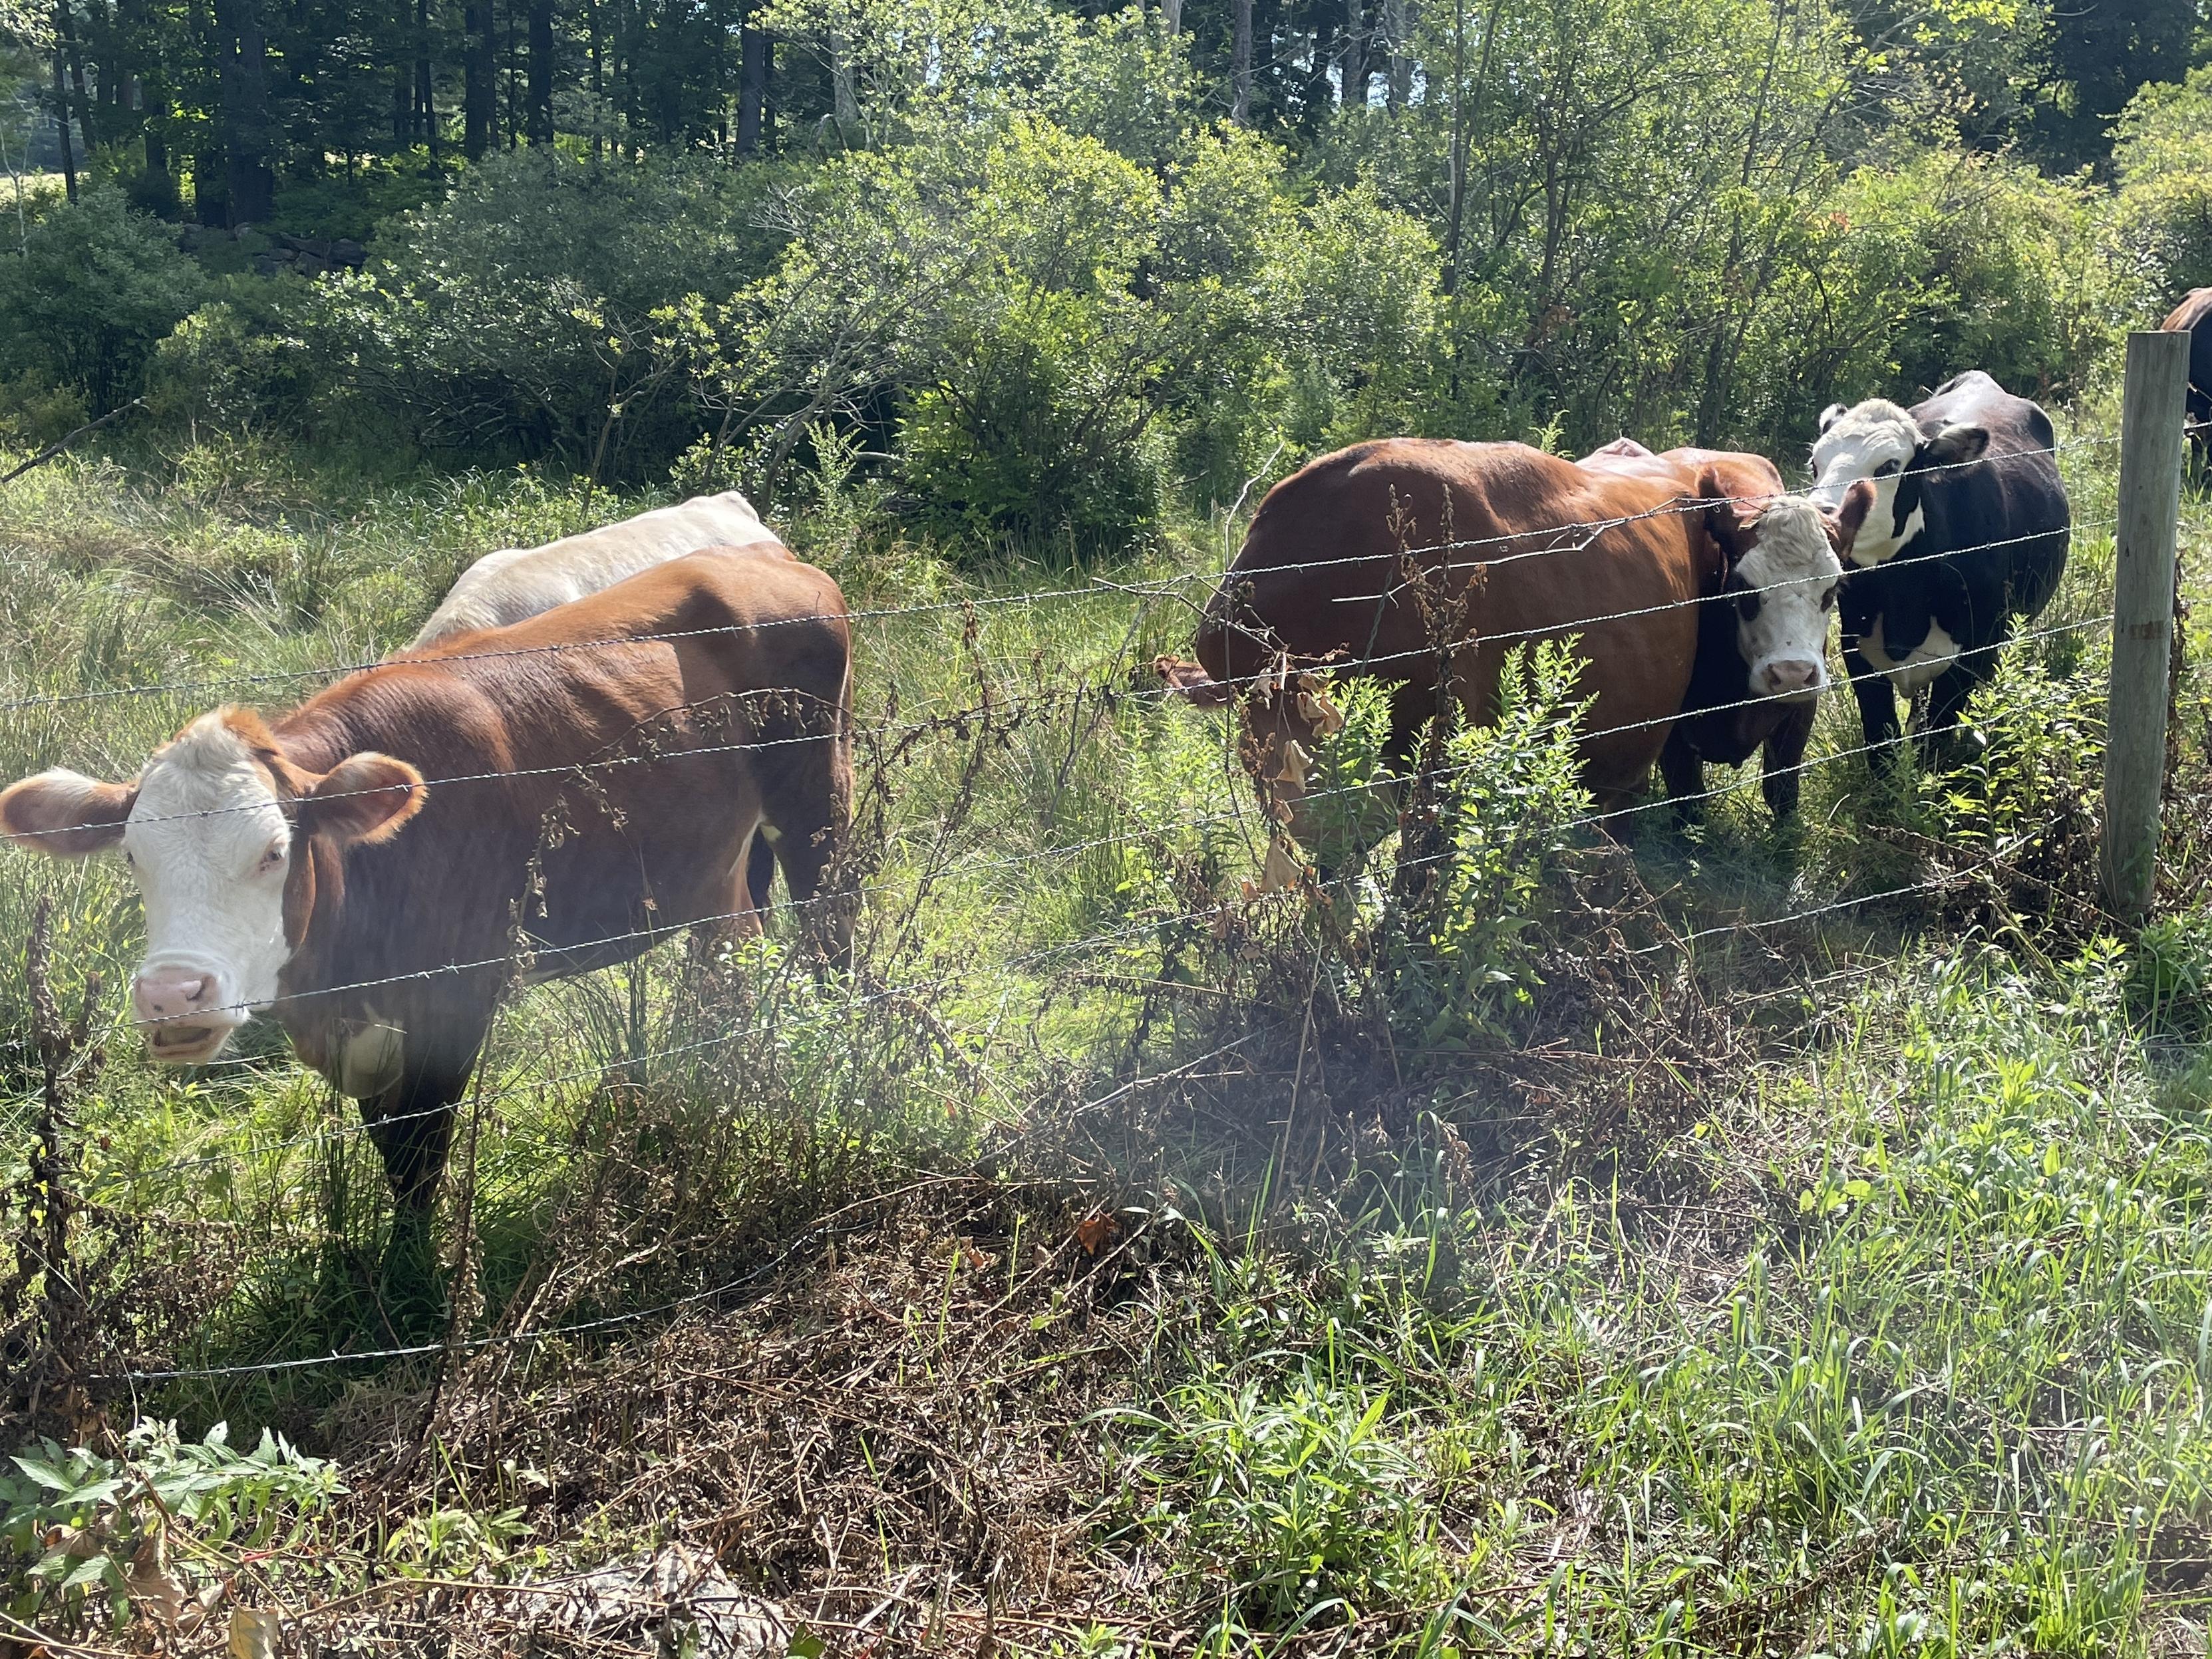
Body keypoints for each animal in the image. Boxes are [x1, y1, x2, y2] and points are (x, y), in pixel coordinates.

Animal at [0, 546, 853, 1212]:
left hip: (818, 804)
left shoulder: (455, 998)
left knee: (831, 936)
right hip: (720, 862)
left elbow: (419, 1152)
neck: (339, 979)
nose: (174, 995)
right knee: (730, 951)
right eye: (132, 858)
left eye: (274, 852)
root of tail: (767, 559)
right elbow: (390, 1143)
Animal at [1809, 371, 2071, 766]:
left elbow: (1934, 743)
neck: (1904, 595)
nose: (1819, 518)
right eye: (1814, 464)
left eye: (1888, 467)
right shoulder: (1858, 651)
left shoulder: (1970, 658)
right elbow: (1882, 745)